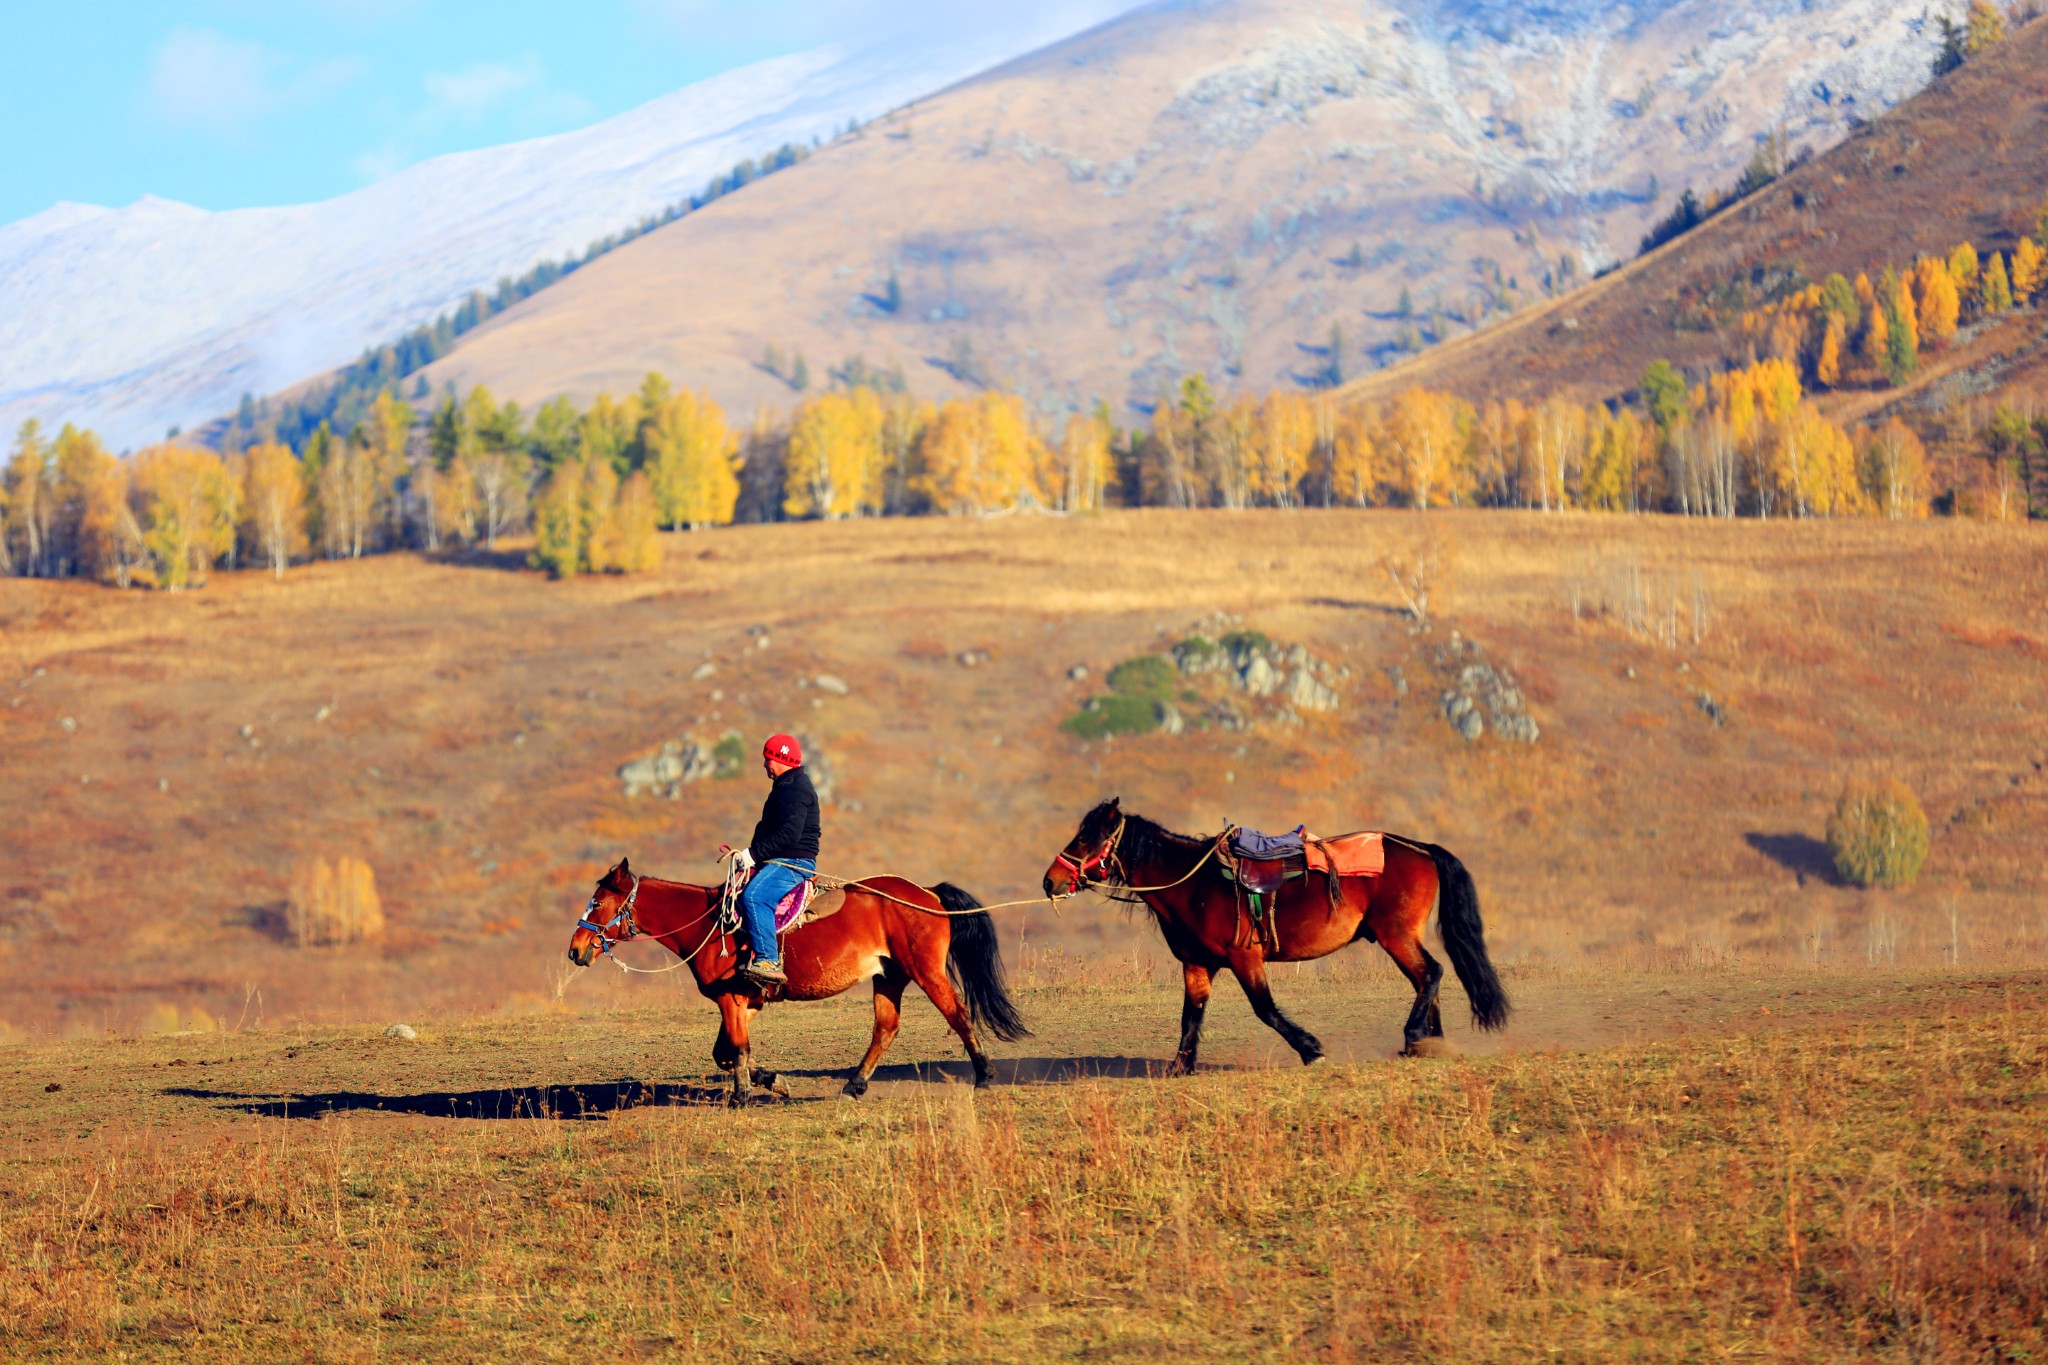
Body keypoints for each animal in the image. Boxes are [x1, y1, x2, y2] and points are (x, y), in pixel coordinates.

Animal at [569, 859, 1032, 1105]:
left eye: (598, 902)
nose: (576, 949)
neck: (710, 923)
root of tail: (927, 892)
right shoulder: (744, 1001)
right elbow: (725, 1052)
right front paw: (773, 1081)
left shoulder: (731, 999)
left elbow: (735, 1050)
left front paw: (741, 1096)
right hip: (890, 976)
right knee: (886, 1027)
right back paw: (855, 1084)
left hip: (925, 970)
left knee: (957, 1013)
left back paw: (984, 1075)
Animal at [1040, 794, 1507, 1072]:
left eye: (1085, 838)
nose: (1050, 881)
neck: (1194, 885)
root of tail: (1420, 848)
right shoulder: (1198, 964)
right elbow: (1191, 1016)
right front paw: (1180, 1066)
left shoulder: (1244, 958)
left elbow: (1265, 1009)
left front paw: (1311, 1048)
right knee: (1426, 978)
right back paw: (1430, 1042)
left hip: (1397, 935)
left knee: (1430, 974)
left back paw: (1415, 1037)